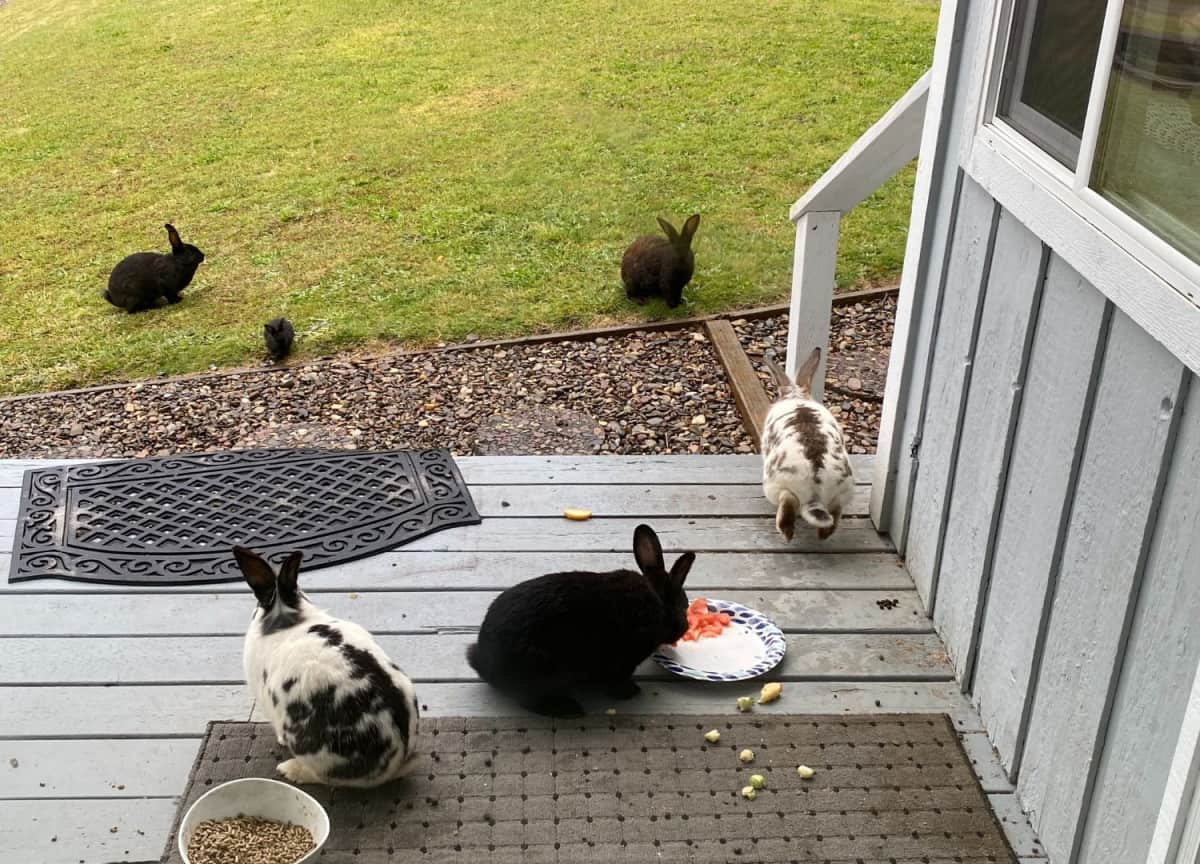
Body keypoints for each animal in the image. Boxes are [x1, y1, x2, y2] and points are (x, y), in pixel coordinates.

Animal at [466, 524, 693, 717]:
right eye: (683, 606)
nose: (686, 627)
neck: (658, 602)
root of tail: (483, 662)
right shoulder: (622, 660)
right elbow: (616, 679)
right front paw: (629, 691)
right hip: (543, 669)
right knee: (528, 700)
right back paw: (567, 708)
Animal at [761, 347, 854, 542]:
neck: (796, 396)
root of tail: (815, 494)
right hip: (842, 493)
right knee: (834, 515)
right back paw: (823, 536)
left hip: (777, 486)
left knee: (787, 503)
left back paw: (787, 534)